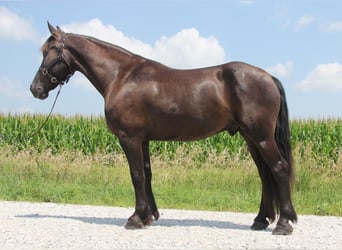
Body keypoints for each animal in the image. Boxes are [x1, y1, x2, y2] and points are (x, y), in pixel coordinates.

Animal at [30, 23, 296, 234]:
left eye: (48, 53)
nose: (35, 89)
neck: (122, 77)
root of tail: (269, 77)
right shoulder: (143, 139)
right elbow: (147, 174)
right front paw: (149, 216)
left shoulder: (129, 138)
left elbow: (136, 175)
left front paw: (135, 218)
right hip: (251, 138)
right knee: (265, 175)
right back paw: (261, 220)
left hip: (261, 137)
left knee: (279, 169)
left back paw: (283, 224)